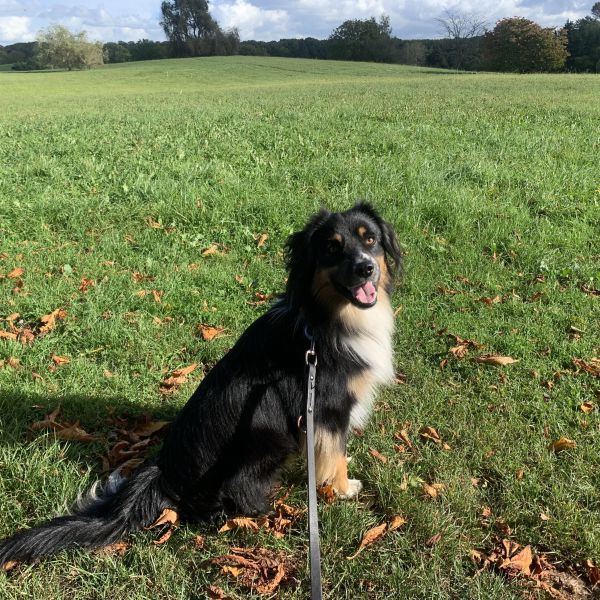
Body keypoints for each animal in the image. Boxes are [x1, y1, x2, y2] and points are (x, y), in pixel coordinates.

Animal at [1, 202, 404, 568]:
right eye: (332, 248)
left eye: (370, 239)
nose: (366, 267)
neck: (326, 322)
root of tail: (165, 473)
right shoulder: (329, 408)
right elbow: (334, 454)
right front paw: (343, 488)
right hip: (267, 441)